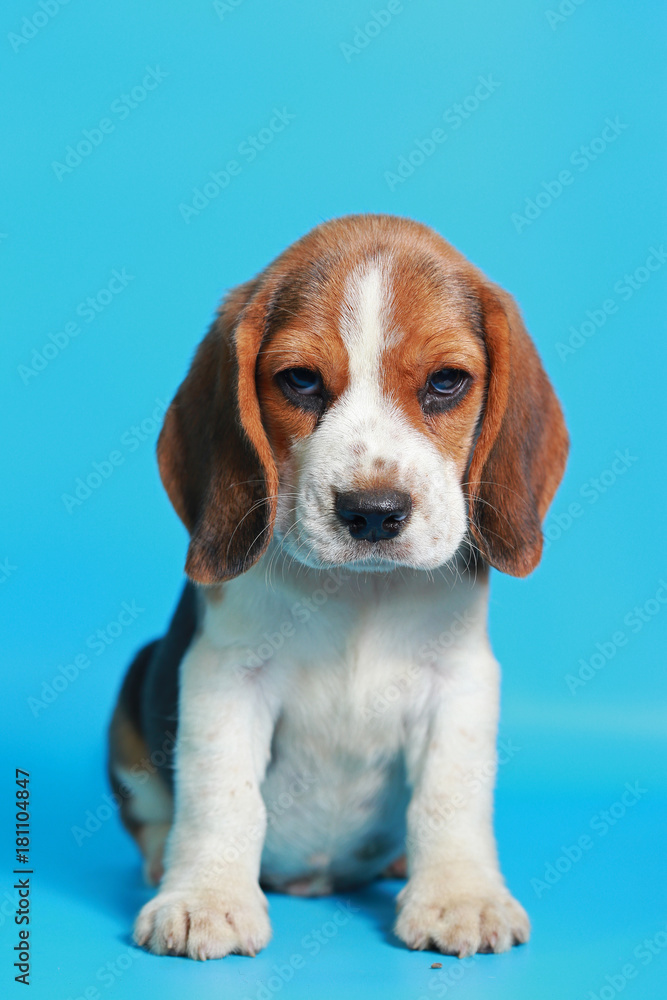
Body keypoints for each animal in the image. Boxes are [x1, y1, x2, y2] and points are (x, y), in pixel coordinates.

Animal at [109, 213, 568, 960]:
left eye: (446, 382)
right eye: (299, 379)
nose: (374, 512)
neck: (360, 592)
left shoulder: (460, 680)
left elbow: (449, 795)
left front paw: (459, 897)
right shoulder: (224, 675)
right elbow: (221, 794)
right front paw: (204, 900)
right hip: (138, 678)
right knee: (152, 815)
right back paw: (160, 865)